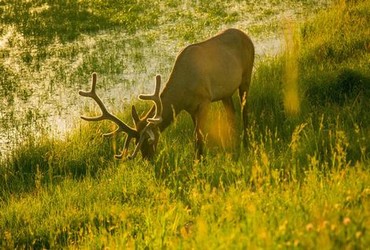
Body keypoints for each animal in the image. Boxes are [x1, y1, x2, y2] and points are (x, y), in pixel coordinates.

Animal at [79, 27, 254, 160]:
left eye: (149, 141)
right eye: (135, 143)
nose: (148, 159)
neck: (183, 93)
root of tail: (246, 35)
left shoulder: (205, 100)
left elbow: (198, 135)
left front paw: (200, 160)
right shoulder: (191, 108)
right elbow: (197, 134)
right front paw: (199, 158)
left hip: (247, 75)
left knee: (244, 109)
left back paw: (246, 141)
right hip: (226, 92)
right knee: (232, 112)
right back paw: (234, 139)